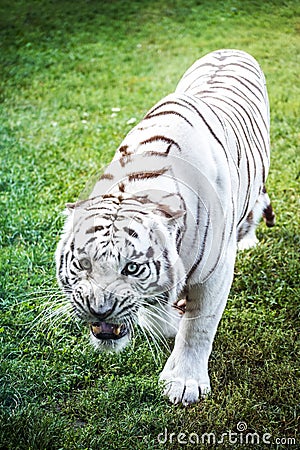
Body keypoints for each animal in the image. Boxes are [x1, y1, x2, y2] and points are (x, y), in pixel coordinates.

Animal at [55, 50, 274, 408]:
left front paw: (184, 382)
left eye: (132, 267)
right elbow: (161, 319)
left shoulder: (216, 274)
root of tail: (228, 50)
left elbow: (198, 327)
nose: (99, 310)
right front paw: (170, 319)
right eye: (84, 264)